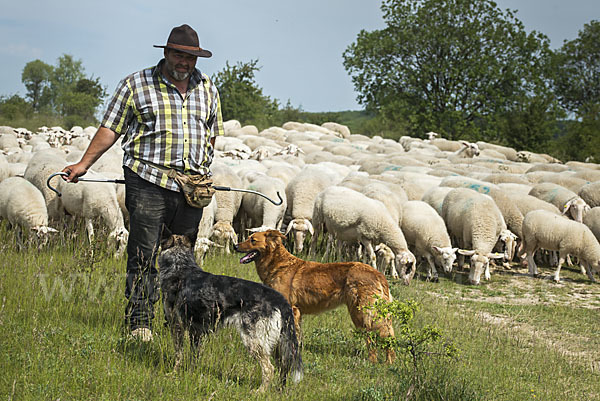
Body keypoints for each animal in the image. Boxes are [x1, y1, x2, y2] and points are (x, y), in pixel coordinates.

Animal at [158, 233, 302, 390]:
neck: (180, 266)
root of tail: (279, 299)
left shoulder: (176, 326)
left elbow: (179, 354)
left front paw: (174, 373)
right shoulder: (196, 332)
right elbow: (194, 355)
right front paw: (190, 373)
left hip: (254, 341)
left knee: (269, 368)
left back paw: (260, 391)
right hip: (276, 343)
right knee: (283, 367)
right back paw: (279, 390)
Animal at [233, 228, 394, 362]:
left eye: (253, 240)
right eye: (248, 238)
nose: (235, 246)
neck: (278, 264)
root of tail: (378, 273)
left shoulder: (292, 310)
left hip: (361, 314)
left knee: (374, 338)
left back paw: (375, 362)